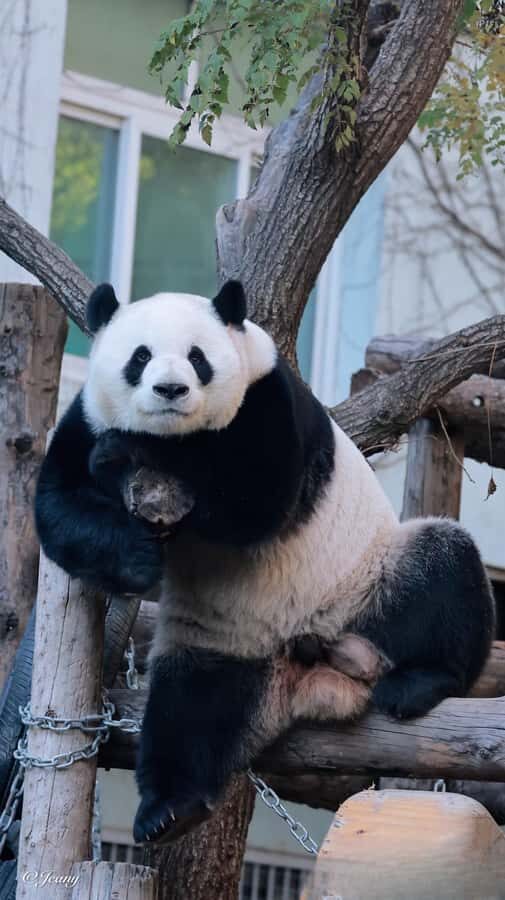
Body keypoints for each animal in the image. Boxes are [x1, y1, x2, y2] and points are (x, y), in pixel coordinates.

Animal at [35, 280, 495, 845]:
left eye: (198, 358)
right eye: (139, 357)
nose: (170, 390)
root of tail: (320, 680)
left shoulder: (268, 401)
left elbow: (257, 492)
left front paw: (128, 451)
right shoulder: (86, 417)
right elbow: (60, 505)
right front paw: (137, 558)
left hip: (372, 581)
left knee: (443, 570)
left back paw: (419, 682)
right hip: (226, 643)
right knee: (191, 707)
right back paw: (170, 811)